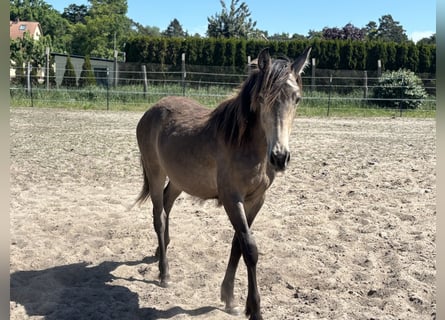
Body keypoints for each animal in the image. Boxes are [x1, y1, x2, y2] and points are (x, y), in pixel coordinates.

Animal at [134, 46, 310, 318]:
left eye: (297, 98)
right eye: (262, 98)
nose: (280, 157)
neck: (243, 143)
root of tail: (152, 109)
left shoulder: (256, 200)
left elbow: (237, 244)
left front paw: (229, 297)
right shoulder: (231, 199)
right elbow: (250, 248)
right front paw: (254, 309)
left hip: (179, 180)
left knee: (166, 204)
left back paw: (159, 251)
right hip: (155, 173)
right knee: (159, 216)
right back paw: (164, 273)